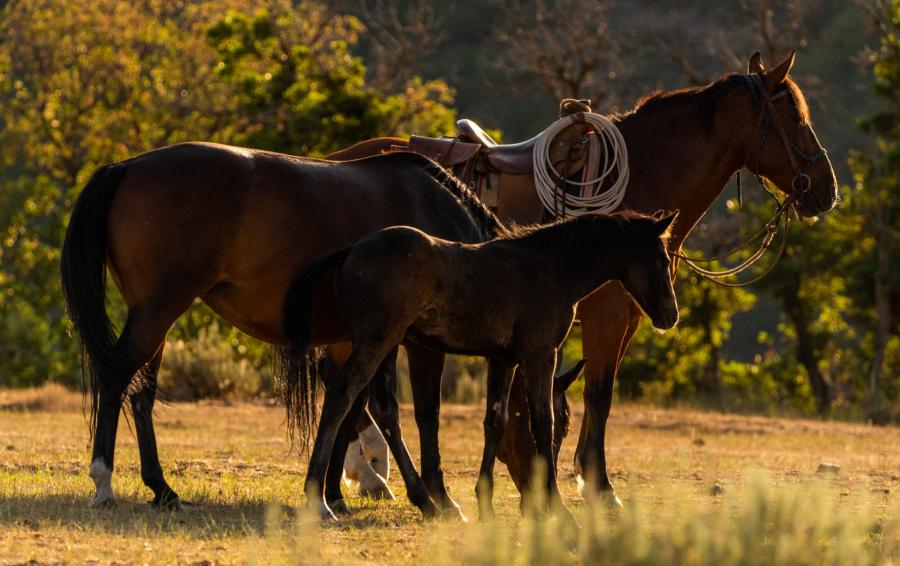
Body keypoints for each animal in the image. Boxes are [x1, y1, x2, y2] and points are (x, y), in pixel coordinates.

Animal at [59, 146, 502, 520]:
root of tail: (128, 165)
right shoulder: (413, 342)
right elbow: (420, 413)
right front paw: (436, 497)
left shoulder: (365, 339)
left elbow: (356, 405)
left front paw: (335, 493)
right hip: (157, 312)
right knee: (115, 378)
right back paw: (104, 482)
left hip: (155, 317)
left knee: (141, 392)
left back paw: (162, 489)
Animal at [284, 211, 680, 520]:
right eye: (662, 260)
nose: (670, 316)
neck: (550, 268)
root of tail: (350, 250)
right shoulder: (540, 354)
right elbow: (542, 422)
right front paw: (558, 508)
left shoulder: (503, 359)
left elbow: (496, 421)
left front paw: (485, 502)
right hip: (376, 342)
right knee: (341, 396)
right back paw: (320, 499)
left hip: (385, 345)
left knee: (377, 407)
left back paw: (422, 501)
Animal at [326, 52, 840, 506]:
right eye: (794, 116)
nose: (827, 189)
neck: (643, 179)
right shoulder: (605, 317)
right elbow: (599, 395)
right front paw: (599, 485)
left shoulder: (626, 317)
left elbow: (591, 398)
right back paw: (368, 475)